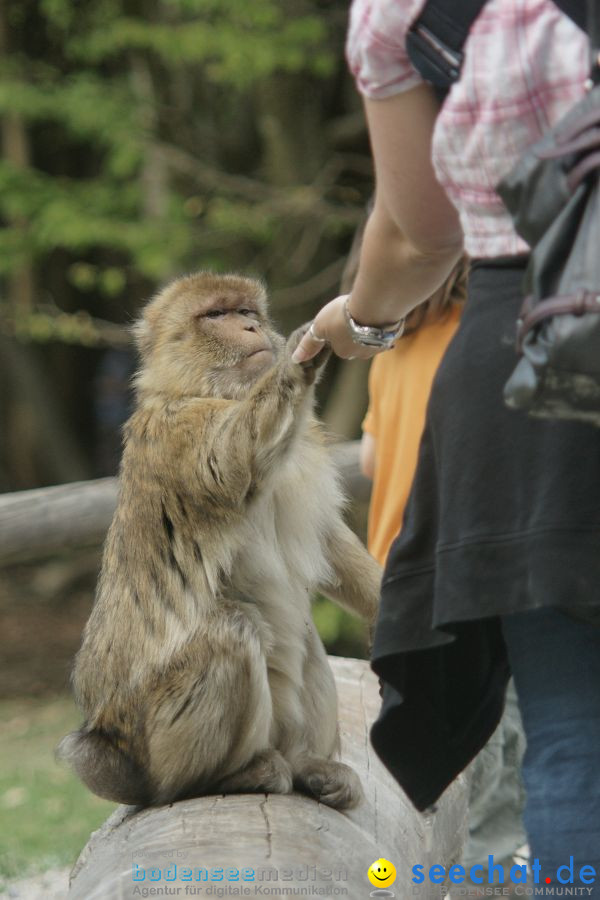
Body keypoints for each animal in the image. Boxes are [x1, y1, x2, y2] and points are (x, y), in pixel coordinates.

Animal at [58, 272, 382, 808]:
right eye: (217, 315)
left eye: (247, 310)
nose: (251, 326)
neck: (214, 392)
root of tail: (112, 747)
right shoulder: (177, 434)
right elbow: (232, 460)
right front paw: (300, 360)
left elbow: (329, 543)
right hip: (157, 743)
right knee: (231, 628)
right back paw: (223, 778)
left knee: (302, 630)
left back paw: (307, 765)